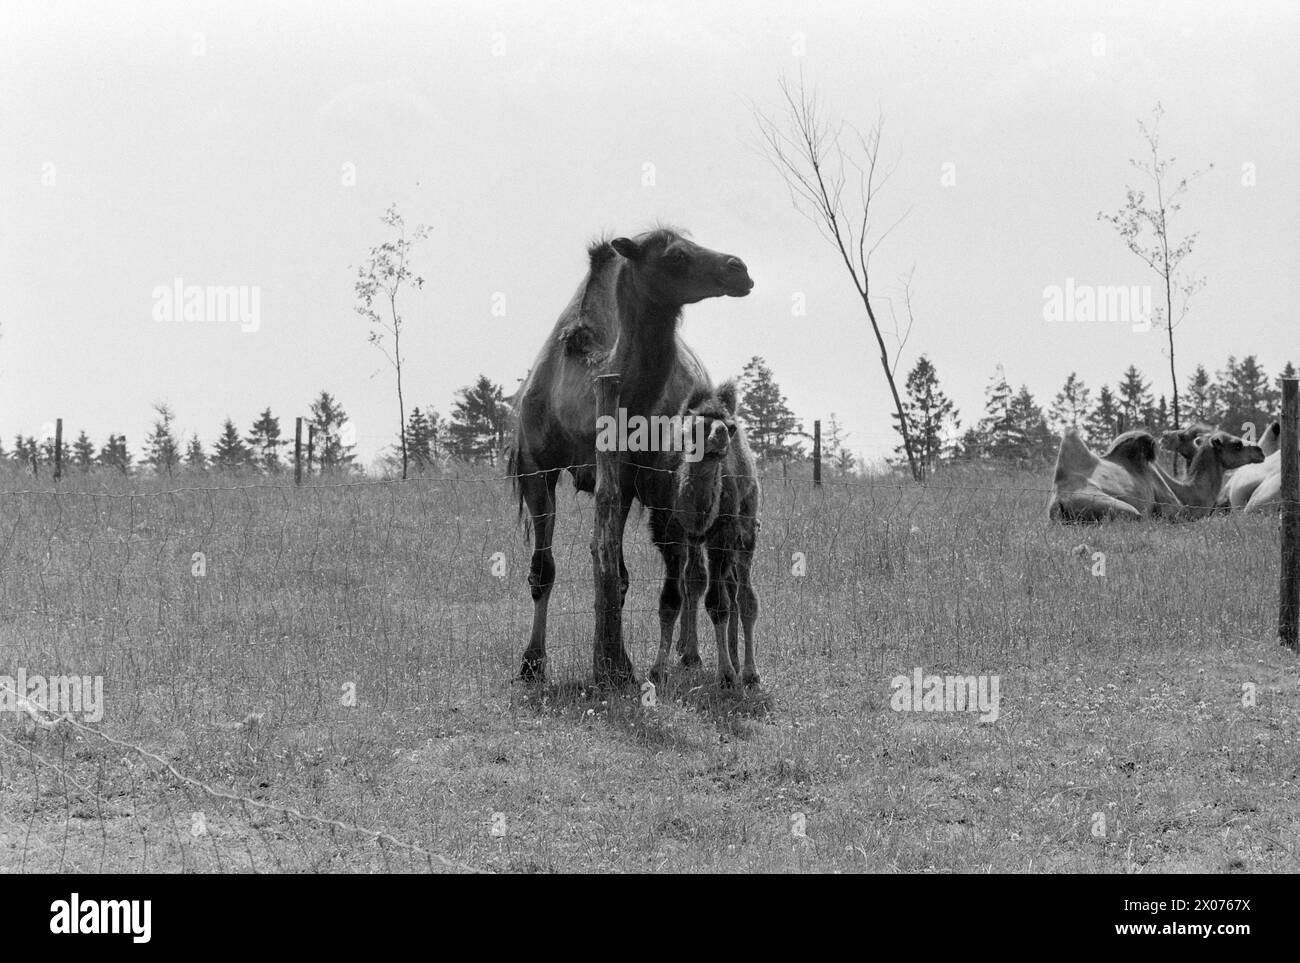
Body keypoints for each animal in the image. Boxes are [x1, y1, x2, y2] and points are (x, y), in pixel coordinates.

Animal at [506, 227, 754, 686]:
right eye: (675, 256)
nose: (739, 268)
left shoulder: (624, 478)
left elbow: (616, 576)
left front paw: (619, 662)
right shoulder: (536, 468)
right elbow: (543, 570)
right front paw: (532, 663)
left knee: (692, 572)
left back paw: (690, 652)